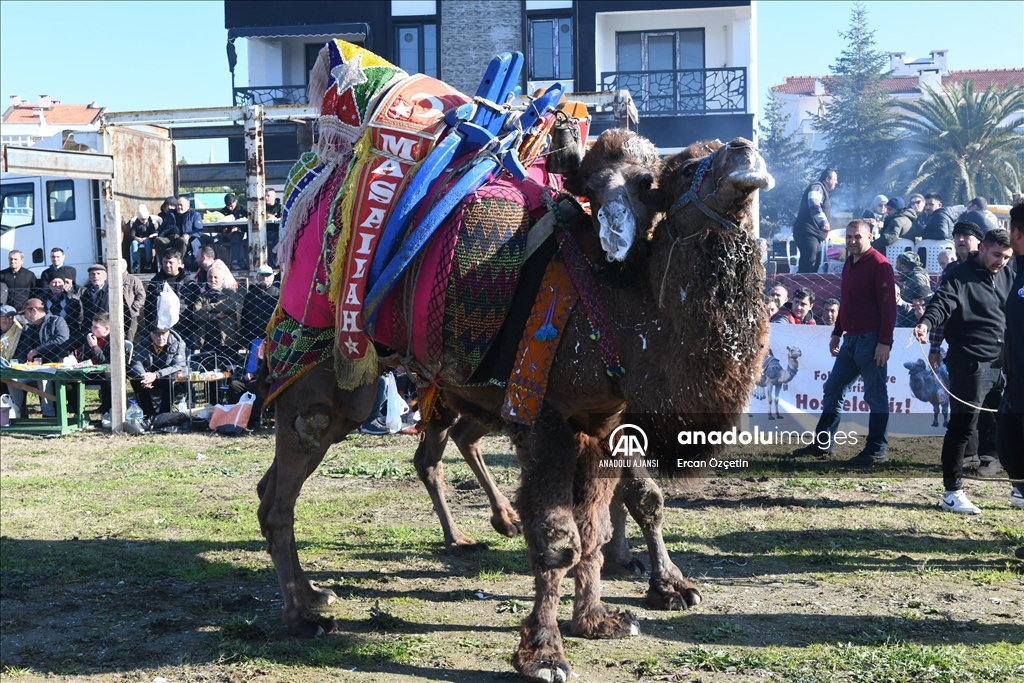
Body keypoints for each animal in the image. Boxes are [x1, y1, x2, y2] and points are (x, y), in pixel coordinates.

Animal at [253, 124, 770, 683]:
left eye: (650, 182)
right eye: (682, 171)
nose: (744, 149)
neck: (620, 319)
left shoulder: (601, 424)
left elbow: (600, 524)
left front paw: (601, 618)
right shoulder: (547, 419)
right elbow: (560, 537)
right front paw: (544, 653)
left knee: (284, 485)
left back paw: (327, 590)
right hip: (327, 382)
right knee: (287, 490)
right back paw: (303, 616)